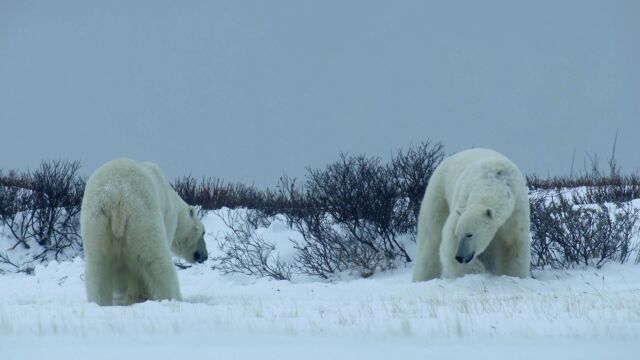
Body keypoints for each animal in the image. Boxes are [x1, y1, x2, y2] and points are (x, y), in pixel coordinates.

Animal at [79, 159, 206, 306]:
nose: (204, 256)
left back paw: (100, 302)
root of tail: (117, 198)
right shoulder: (167, 218)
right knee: (157, 262)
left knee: (97, 267)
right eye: (204, 232)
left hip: (97, 222)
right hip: (143, 217)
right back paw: (174, 298)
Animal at [412, 148, 532, 280]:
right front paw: (476, 271)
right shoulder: (463, 201)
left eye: (470, 234)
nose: (460, 257)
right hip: (438, 193)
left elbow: (513, 244)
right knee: (430, 238)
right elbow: (449, 242)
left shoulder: (515, 212)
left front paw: (514, 275)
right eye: (458, 234)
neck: (494, 181)